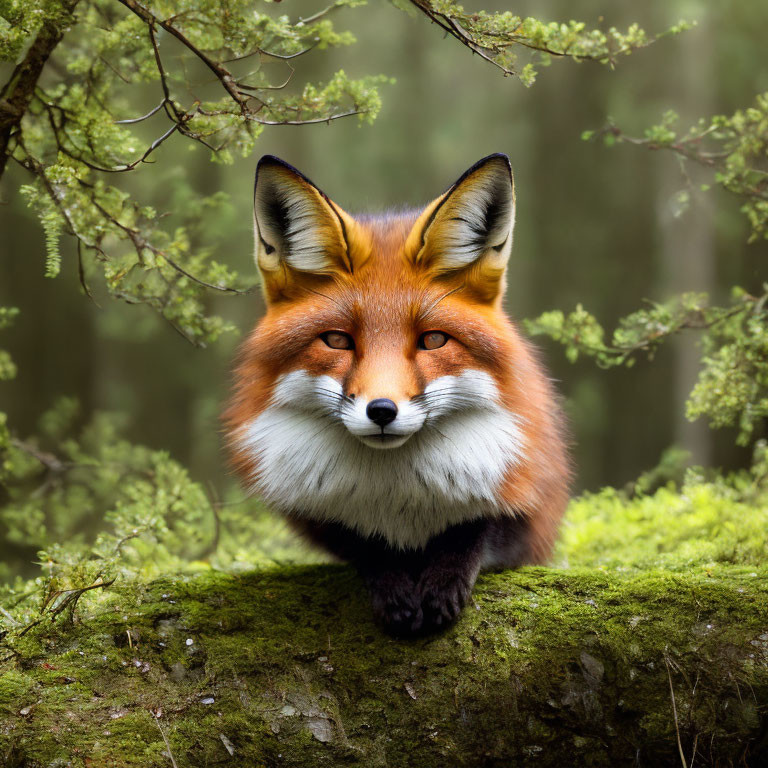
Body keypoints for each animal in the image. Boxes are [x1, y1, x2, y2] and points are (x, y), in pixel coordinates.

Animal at [224, 152, 568, 636]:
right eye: (337, 341)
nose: (382, 411)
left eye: (433, 341)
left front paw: (442, 585)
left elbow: (471, 531)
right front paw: (395, 587)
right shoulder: (322, 517)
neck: (399, 500)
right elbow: (365, 543)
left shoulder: (527, 507)